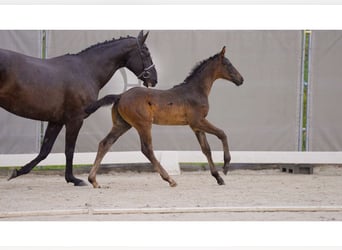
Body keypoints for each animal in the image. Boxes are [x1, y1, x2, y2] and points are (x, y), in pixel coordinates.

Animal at [0, 30, 158, 186]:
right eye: (146, 52)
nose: (154, 79)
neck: (86, 70)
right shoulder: (75, 120)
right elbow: (69, 150)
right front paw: (73, 179)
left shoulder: (56, 121)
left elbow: (45, 150)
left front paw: (17, 172)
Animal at [87, 47, 244, 188]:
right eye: (228, 64)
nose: (241, 79)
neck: (195, 90)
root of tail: (120, 96)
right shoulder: (198, 121)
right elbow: (222, 134)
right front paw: (226, 167)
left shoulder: (196, 127)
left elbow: (206, 149)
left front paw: (218, 178)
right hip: (143, 125)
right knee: (147, 149)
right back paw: (170, 179)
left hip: (122, 124)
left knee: (105, 143)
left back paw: (93, 180)